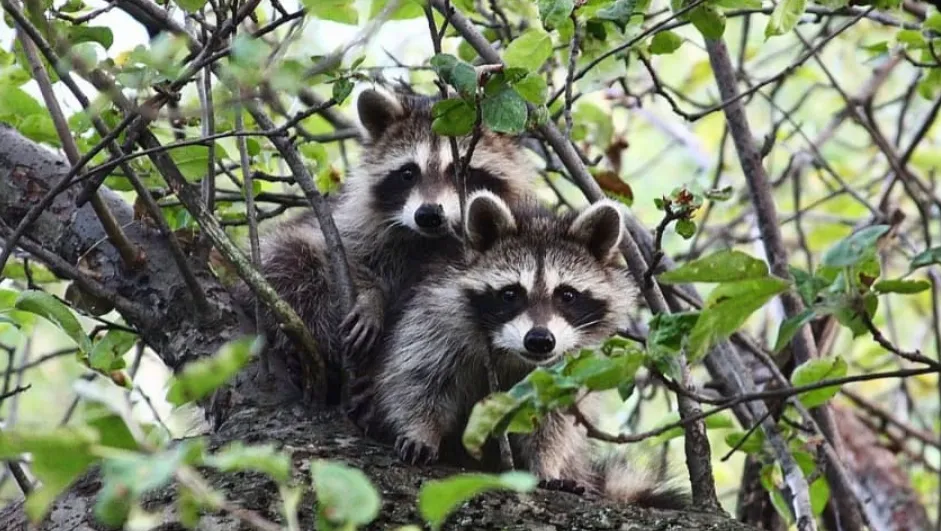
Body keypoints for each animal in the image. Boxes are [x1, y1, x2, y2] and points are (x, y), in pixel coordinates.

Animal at [238, 85, 536, 405]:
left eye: (463, 172)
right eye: (408, 173)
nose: (428, 215)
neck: (430, 240)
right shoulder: (351, 223)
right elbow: (338, 252)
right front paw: (371, 296)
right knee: (290, 260)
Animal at [367, 190, 690, 509]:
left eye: (567, 295)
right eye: (510, 294)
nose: (539, 340)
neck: (511, 353)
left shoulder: (569, 366)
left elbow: (554, 420)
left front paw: (546, 463)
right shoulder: (437, 317)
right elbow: (418, 377)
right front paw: (420, 430)